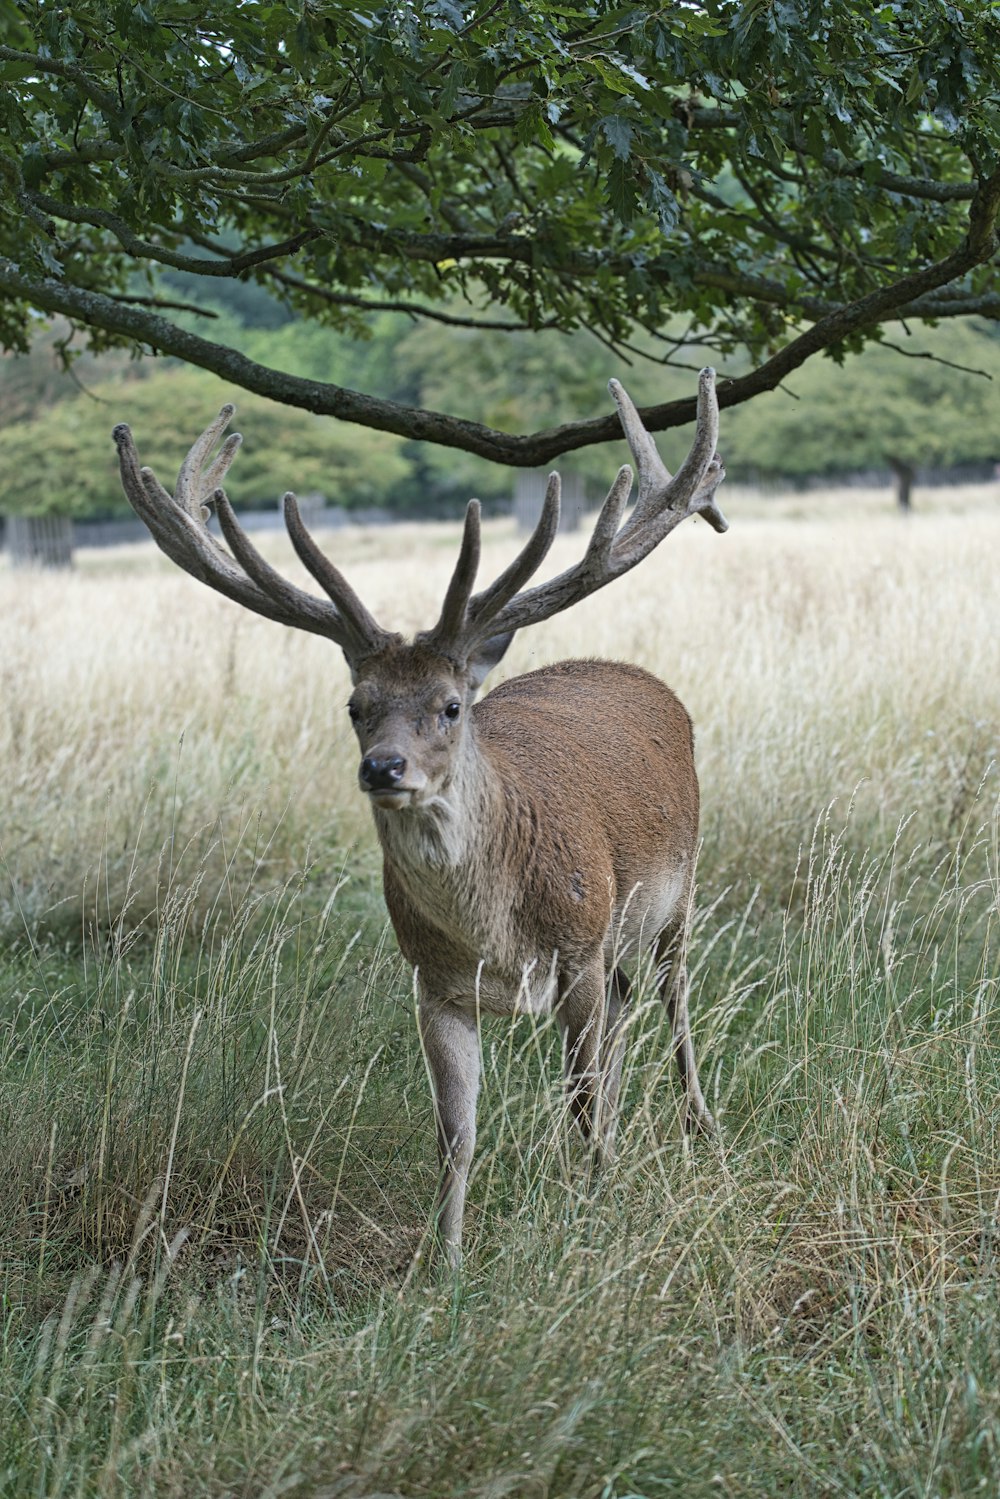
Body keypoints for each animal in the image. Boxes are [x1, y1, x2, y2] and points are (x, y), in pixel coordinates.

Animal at [113, 371, 731, 1265]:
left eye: (448, 705)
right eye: (355, 705)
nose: (384, 768)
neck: (497, 932)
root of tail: (635, 675)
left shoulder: (578, 942)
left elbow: (579, 1097)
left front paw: (598, 1212)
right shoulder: (433, 980)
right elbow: (456, 1134)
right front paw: (446, 1262)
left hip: (674, 892)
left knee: (673, 1005)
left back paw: (696, 1129)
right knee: (623, 1023)